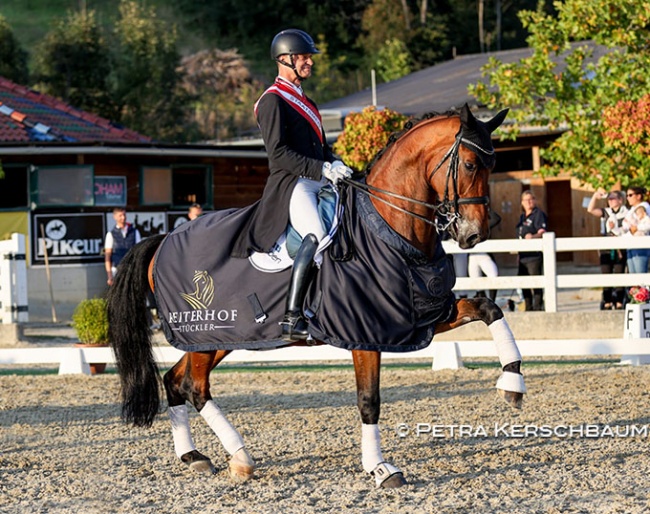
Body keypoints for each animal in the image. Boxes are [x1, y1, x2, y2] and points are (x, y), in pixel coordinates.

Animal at [105, 105, 520, 488]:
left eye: (494, 163)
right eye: (470, 164)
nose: (474, 234)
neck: (389, 226)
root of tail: (164, 239)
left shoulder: (422, 316)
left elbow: (489, 307)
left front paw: (512, 383)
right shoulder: (365, 331)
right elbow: (369, 400)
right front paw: (380, 468)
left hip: (216, 337)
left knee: (175, 380)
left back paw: (193, 456)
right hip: (206, 335)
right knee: (194, 387)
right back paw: (241, 458)